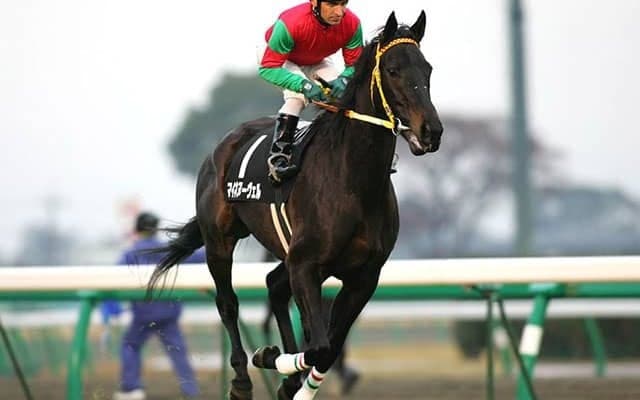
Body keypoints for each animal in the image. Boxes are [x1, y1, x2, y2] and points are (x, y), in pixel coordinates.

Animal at [148, 10, 442, 400]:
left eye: (427, 69)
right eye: (393, 70)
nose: (431, 132)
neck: (353, 181)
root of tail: (224, 143)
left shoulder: (363, 275)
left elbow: (329, 348)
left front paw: (296, 381)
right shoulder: (305, 264)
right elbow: (318, 345)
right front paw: (270, 358)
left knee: (274, 285)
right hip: (219, 241)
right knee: (228, 303)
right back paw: (241, 380)